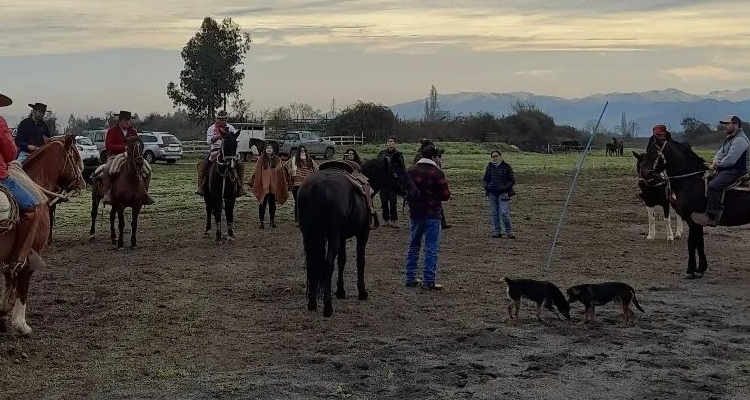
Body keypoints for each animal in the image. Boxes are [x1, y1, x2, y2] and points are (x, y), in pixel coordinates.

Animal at [0, 136, 85, 336]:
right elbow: (22, 286)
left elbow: (9, 279)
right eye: (76, 155)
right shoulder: (29, 257)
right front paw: (21, 324)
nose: (85, 181)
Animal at [296, 152, 420, 318]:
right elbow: (360, 261)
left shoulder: (341, 237)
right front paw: (362, 292)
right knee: (328, 264)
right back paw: (327, 306)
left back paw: (312, 303)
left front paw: (340, 291)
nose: (415, 192)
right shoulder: (362, 233)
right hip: (332, 237)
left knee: (312, 264)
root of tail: (317, 187)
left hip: (311, 237)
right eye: (401, 172)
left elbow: (342, 261)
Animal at [636, 131, 750, 278]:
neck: (691, 181)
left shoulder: (692, 220)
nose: (643, 176)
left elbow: (691, 243)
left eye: (652, 152)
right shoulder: (696, 222)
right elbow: (699, 243)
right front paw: (701, 268)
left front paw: (690, 270)